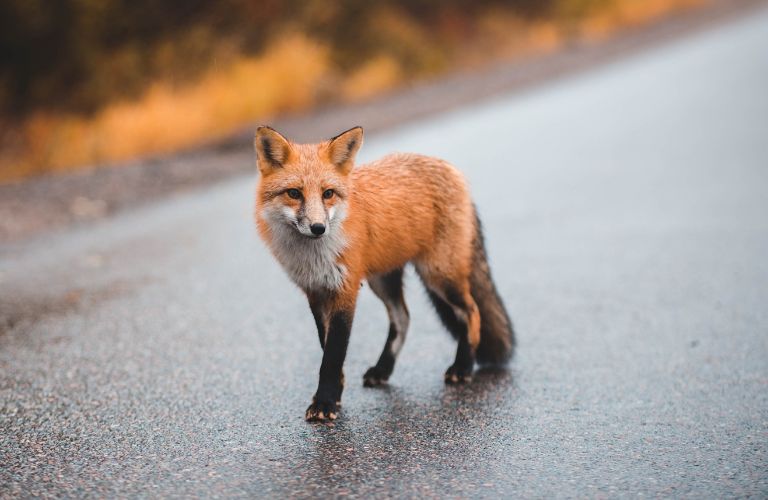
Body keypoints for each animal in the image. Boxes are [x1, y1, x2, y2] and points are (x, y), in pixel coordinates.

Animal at [254, 126, 516, 422]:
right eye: (294, 193)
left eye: (328, 193)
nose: (318, 228)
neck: (314, 257)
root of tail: (450, 168)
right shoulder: (316, 292)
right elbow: (326, 348)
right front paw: (335, 394)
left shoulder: (346, 290)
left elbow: (333, 354)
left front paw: (325, 402)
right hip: (383, 280)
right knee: (403, 318)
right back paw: (383, 369)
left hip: (438, 275)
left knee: (471, 311)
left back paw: (462, 367)